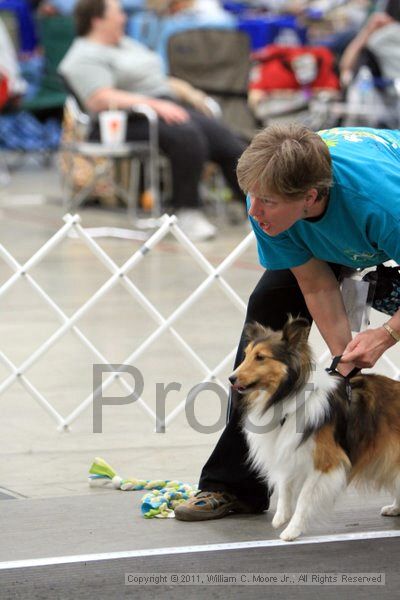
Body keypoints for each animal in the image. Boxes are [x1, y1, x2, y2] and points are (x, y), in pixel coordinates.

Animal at [228, 316, 400, 540]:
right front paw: (281, 517)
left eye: (260, 357)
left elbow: (304, 498)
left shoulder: (324, 463)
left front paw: (292, 530)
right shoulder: (287, 447)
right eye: (247, 355)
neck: (289, 398)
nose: (231, 378)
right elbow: (285, 485)